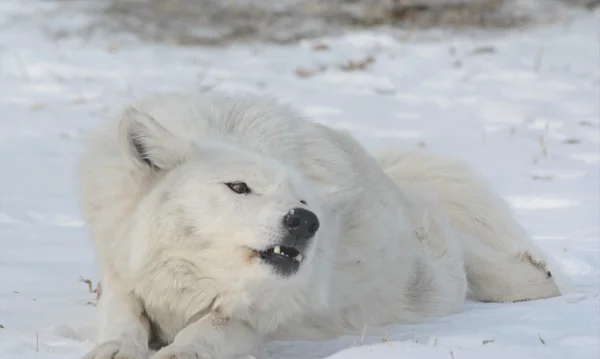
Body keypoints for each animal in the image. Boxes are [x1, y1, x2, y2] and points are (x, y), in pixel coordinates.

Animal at [79, 90, 568, 359]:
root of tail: (385, 176)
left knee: (465, 256)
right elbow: (122, 316)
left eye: (301, 200)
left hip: (427, 285)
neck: (192, 283)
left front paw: (179, 352)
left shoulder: (257, 315)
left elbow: (212, 328)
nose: (305, 221)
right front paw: (115, 350)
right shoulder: (122, 273)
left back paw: (534, 275)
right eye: (238, 187)